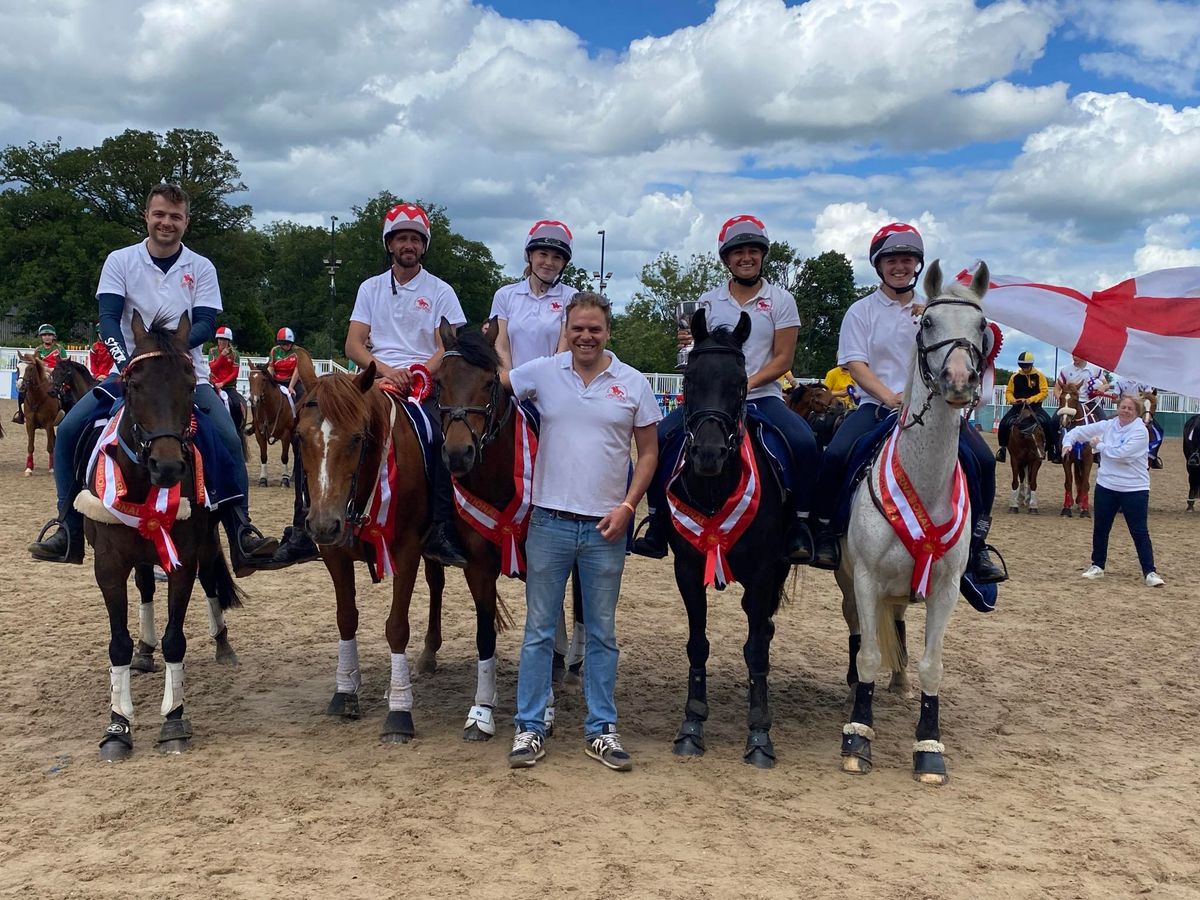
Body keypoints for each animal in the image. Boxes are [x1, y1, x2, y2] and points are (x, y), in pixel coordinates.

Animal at [85, 314, 246, 763]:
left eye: (190, 386)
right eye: (133, 385)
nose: (169, 466)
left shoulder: (184, 558)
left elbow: (176, 640)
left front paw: (174, 719)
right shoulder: (108, 564)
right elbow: (118, 644)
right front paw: (118, 726)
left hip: (205, 542)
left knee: (211, 581)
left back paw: (222, 644)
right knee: (143, 587)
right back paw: (145, 648)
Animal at [295, 355, 453, 744]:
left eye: (356, 438)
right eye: (300, 437)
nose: (323, 523)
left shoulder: (407, 550)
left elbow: (396, 628)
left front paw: (399, 711)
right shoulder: (334, 553)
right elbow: (345, 618)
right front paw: (344, 692)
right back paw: (429, 653)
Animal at [662, 309, 792, 768]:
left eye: (740, 381)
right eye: (688, 379)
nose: (708, 454)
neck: (715, 489)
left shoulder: (764, 572)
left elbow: (756, 649)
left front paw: (760, 733)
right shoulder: (686, 569)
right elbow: (697, 644)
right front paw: (692, 724)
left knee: (763, 628)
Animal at [840, 256, 988, 787]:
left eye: (982, 326)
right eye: (928, 323)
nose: (958, 380)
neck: (923, 484)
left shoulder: (945, 587)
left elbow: (932, 666)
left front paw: (929, 748)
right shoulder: (864, 577)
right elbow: (867, 653)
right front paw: (858, 738)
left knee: (899, 623)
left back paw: (899, 682)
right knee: (860, 630)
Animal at [1060, 381, 1099, 520]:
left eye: (1075, 399)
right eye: (1060, 398)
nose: (1064, 421)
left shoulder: (1087, 460)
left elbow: (1085, 483)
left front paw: (1085, 511)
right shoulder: (1066, 459)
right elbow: (1068, 482)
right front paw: (1066, 508)